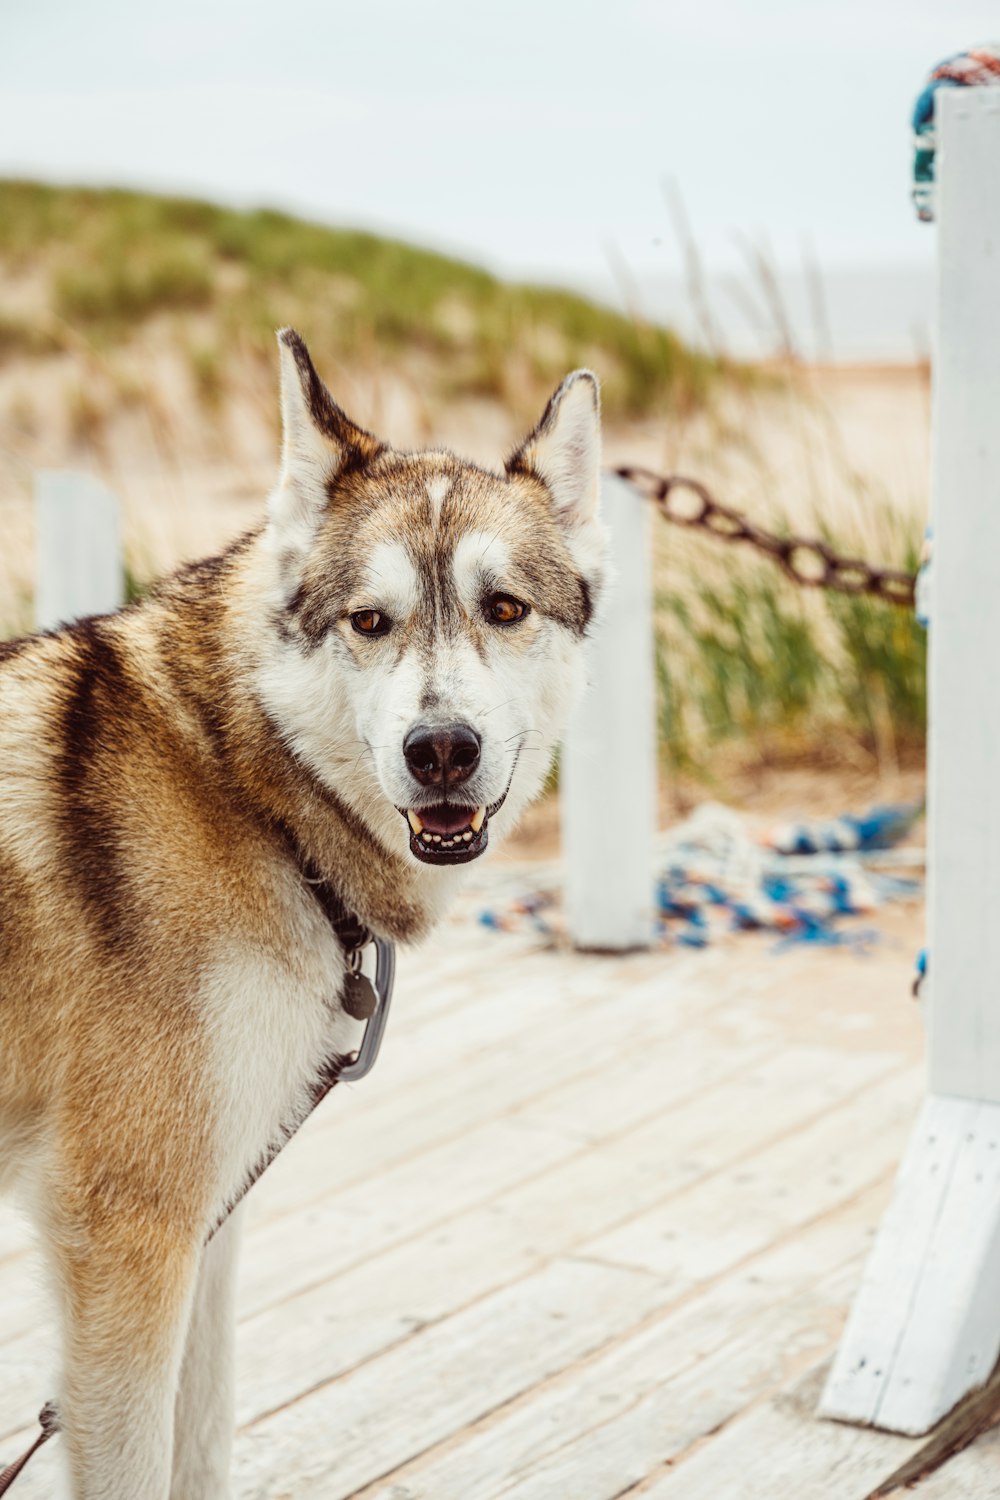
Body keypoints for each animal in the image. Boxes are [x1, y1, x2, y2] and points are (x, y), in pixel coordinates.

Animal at [0, 331, 611, 1500]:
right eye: (370, 622)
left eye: (505, 608)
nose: (441, 750)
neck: (244, 790)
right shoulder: (130, 1232)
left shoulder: (209, 1224)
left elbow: (201, 1449)